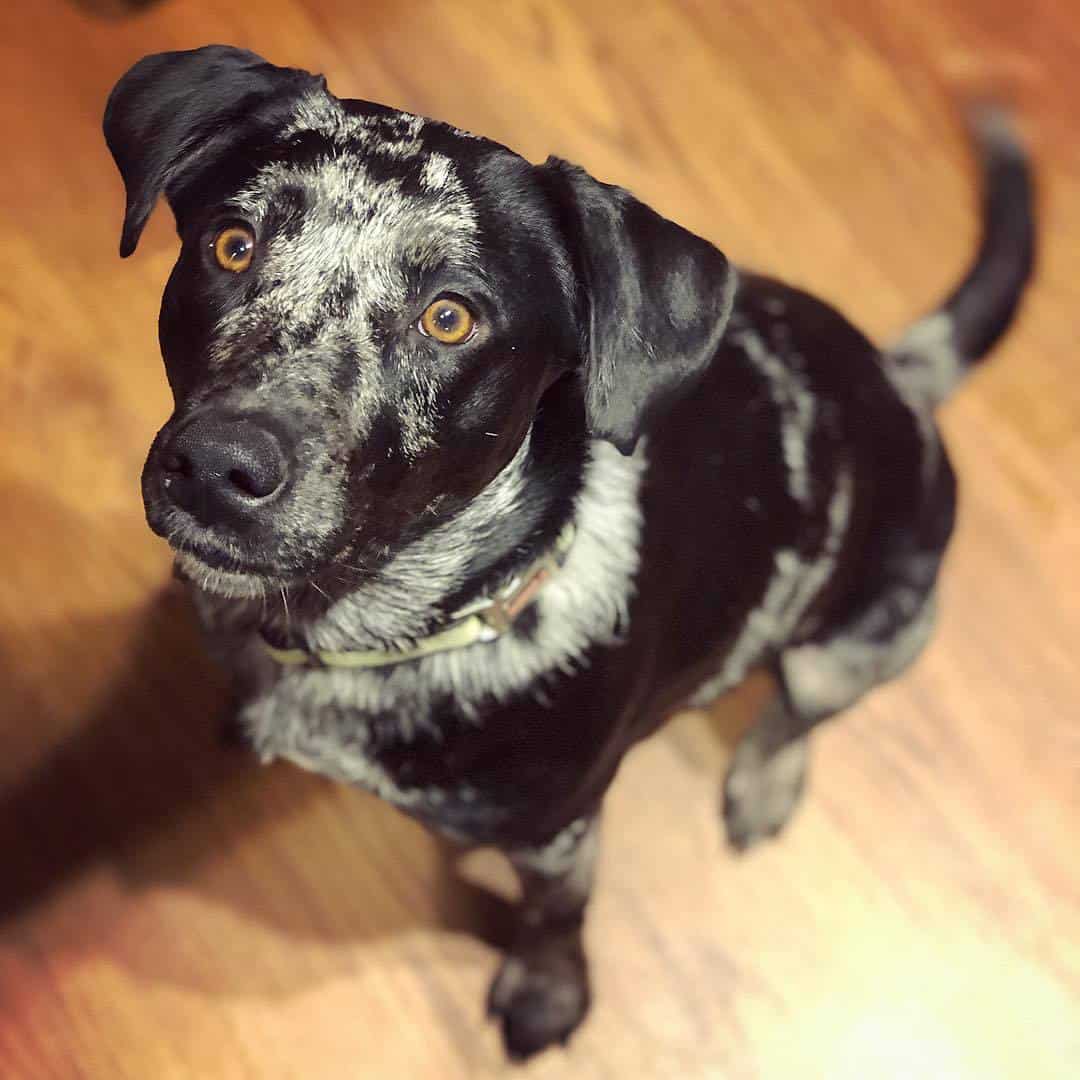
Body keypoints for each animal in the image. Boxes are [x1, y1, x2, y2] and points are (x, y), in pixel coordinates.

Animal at [105, 46, 1032, 1058]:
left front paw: (550, 991)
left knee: (799, 712)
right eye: (232, 245)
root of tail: (902, 383)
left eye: (450, 318)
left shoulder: (559, 831)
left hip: (860, 642)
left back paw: (765, 779)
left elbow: (559, 914)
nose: (216, 465)